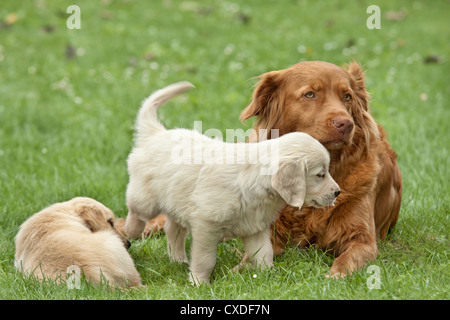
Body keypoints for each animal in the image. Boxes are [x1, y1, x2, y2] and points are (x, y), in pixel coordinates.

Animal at [125, 82, 340, 284]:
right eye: (320, 175)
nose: (338, 192)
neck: (254, 182)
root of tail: (156, 133)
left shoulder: (256, 227)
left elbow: (264, 253)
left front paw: (268, 276)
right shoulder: (206, 226)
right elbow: (205, 260)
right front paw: (199, 282)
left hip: (177, 200)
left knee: (172, 229)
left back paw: (178, 259)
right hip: (146, 199)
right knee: (136, 212)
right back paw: (129, 233)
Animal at [241, 61, 402, 276]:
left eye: (347, 96)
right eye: (310, 94)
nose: (346, 123)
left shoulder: (362, 239)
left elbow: (346, 259)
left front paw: (335, 275)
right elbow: (251, 258)